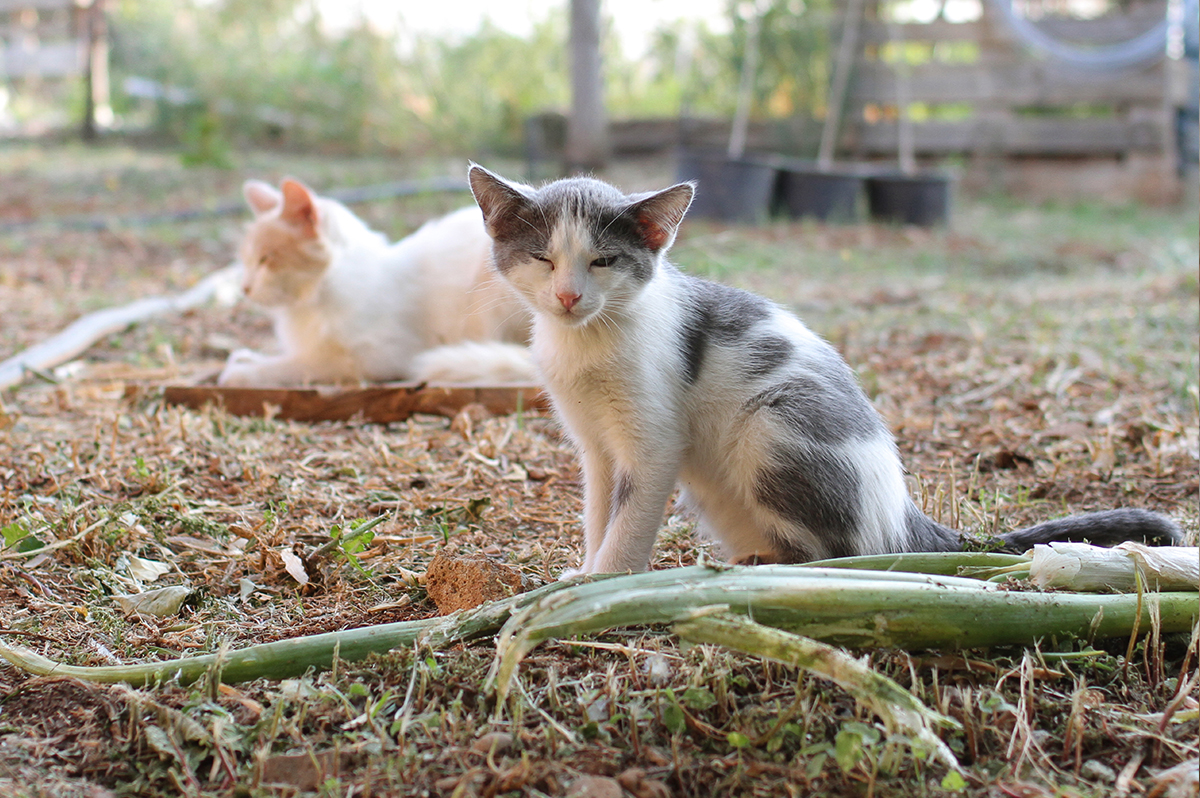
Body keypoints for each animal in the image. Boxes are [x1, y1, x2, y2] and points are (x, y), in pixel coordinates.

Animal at [217, 176, 535, 386]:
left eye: (265, 260)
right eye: (246, 260)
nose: (245, 288)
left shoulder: (374, 357)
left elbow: (302, 365)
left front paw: (245, 372)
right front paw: (246, 359)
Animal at [465, 164, 1180, 573]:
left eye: (604, 261)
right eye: (541, 257)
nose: (568, 296)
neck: (585, 343)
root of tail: (902, 512)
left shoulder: (655, 437)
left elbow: (633, 513)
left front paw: (605, 581)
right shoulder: (594, 445)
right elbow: (597, 508)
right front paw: (583, 570)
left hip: (773, 428)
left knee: (841, 554)